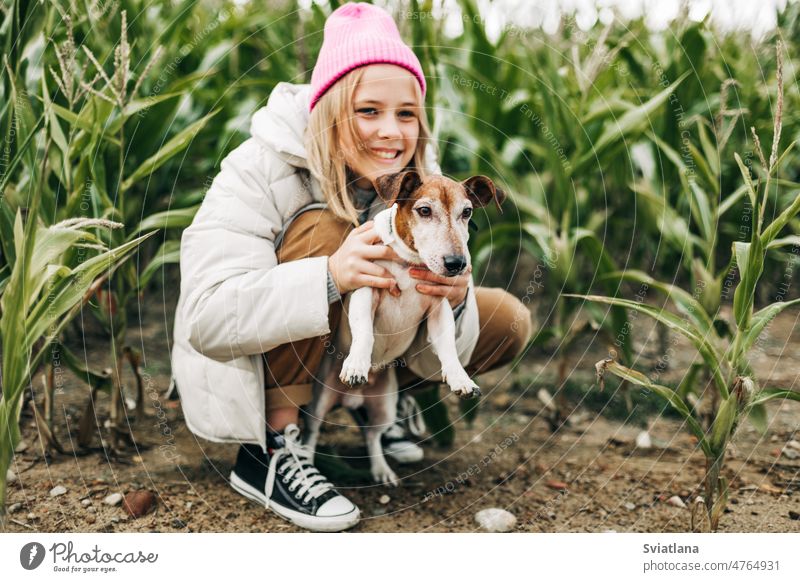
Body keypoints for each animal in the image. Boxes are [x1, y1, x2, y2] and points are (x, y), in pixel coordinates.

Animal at [304, 171, 504, 486]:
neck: (410, 261)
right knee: (311, 433)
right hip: (320, 400)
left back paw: (381, 469)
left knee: (373, 436)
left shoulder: (439, 309)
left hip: (385, 405)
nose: (457, 263)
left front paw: (460, 378)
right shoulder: (366, 289)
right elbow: (365, 332)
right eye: (424, 210)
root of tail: (351, 401)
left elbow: (448, 347)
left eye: (467, 212)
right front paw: (357, 364)